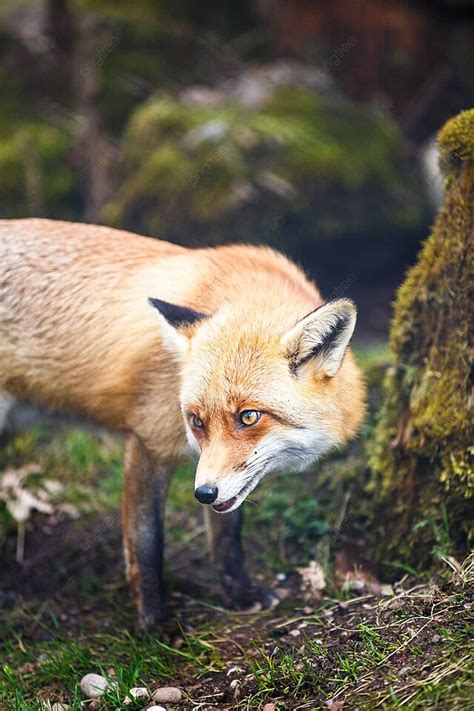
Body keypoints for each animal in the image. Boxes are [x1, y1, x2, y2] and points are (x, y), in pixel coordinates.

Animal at [0, 218, 366, 628]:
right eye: (196, 420)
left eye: (248, 416)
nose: (203, 494)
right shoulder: (148, 439)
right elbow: (146, 544)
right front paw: (155, 625)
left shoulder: (219, 478)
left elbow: (227, 534)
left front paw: (240, 594)